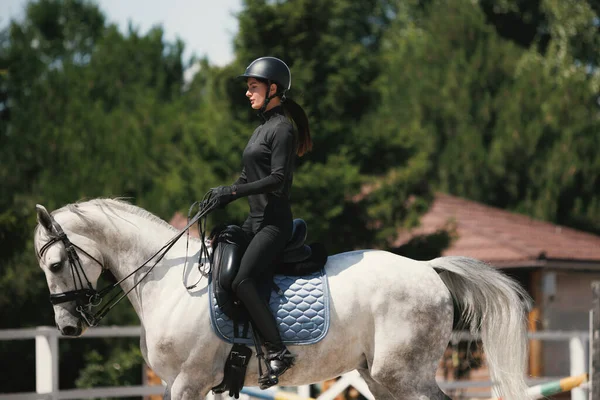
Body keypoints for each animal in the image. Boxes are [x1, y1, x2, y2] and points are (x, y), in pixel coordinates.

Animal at [32, 198, 532, 398]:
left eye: (54, 265)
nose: (68, 326)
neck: (168, 284)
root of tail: (428, 268)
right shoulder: (191, 385)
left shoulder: (188, 383)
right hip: (377, 377)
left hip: (405, 375)